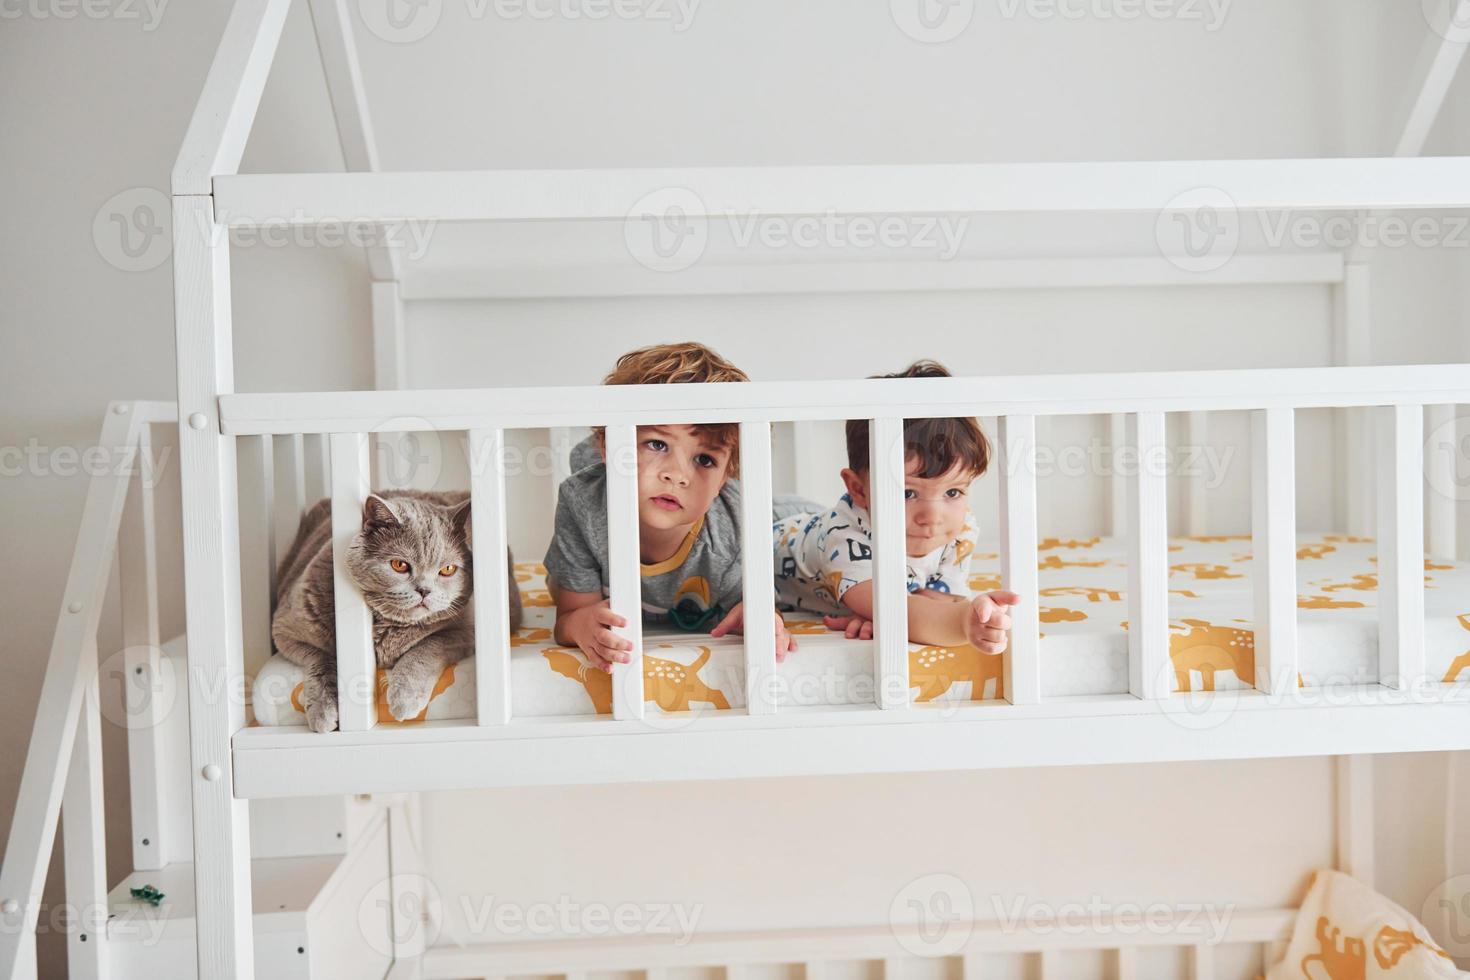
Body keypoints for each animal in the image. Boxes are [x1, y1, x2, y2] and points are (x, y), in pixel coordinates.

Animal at [271, 487, 523, 728]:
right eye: (399, 565)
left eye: (448, 570)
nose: (424, 590)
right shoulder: (286, 629)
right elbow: (321, 658)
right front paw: (322, 712)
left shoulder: (466, 629)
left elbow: (428, 646)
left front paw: (405, 698)